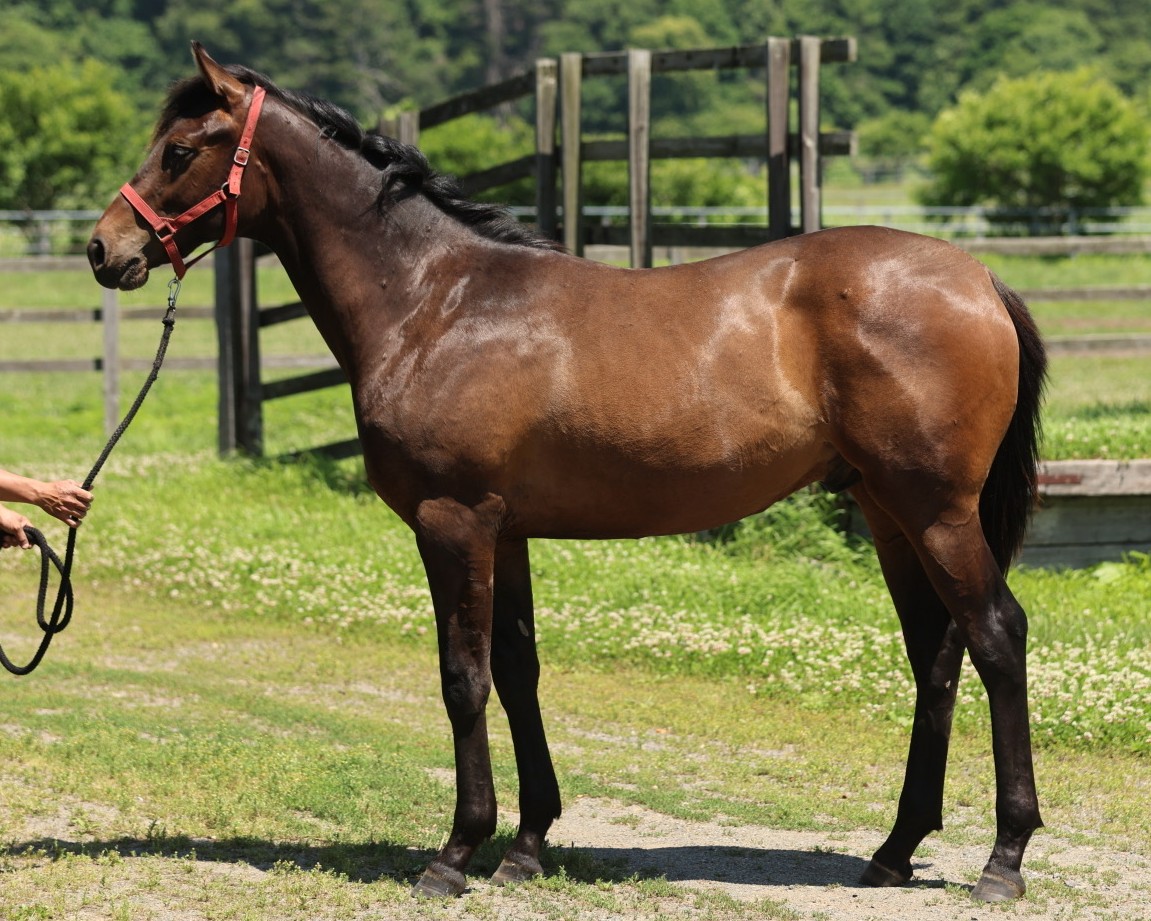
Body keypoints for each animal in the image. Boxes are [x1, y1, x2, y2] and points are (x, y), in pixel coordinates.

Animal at [88, 43, 1046, 902]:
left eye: (181, 150)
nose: (105, 248)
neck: (435, 302)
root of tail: (980, 280)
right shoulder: (503, 529)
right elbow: (518, 671)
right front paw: (525, 845)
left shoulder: (452, 519)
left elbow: (462, 676)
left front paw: (455, 852)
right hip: (888, 514)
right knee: (934, 655)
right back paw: (893, 850)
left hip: (936, 512)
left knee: (996, 636)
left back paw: (1002, 858)